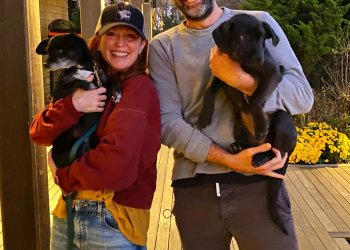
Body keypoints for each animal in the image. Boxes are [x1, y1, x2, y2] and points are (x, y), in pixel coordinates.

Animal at [36, 32, 114, 168]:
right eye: (48, 51)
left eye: (59, 51)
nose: (45, 65)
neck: (81, 68)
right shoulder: (58, 92)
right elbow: (76, 82)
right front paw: (89, 85)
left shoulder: (103, 86)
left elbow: (114, 82)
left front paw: (118, 93)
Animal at [196, 14, 296, 234]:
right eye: (243, 36)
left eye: (263, 38)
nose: (258, 58)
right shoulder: (219, 75)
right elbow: (208, 91)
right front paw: (204, 117)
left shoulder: (272, 73)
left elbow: (257, 98)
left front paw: (260, 123)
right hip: (238, 127)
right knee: (257, 145)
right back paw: (238, 148)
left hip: (283, 120)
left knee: (277, 151)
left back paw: (261, 155)